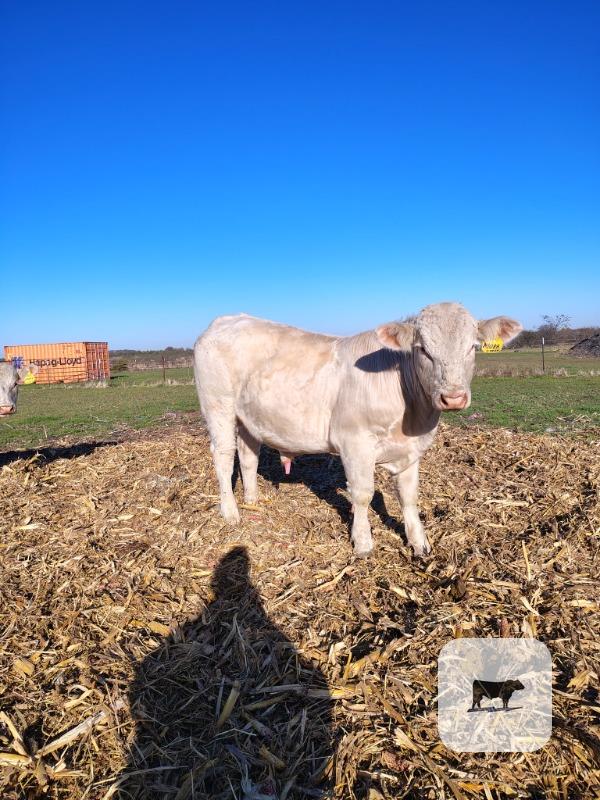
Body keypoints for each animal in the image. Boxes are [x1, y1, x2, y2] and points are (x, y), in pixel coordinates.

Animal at [194, 302, 522, 557]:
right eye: (422, 350)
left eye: (473, 347)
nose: (452, 397)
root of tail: (226, 319)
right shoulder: (354, 442)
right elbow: (363, 494)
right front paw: (363, 543)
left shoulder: (410, 451)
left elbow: (409, 496)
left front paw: (419, 543)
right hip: (218, 406)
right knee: (223, 457)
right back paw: (231, 512)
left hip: (250, 417)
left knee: (248, 456)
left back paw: (253, 501)